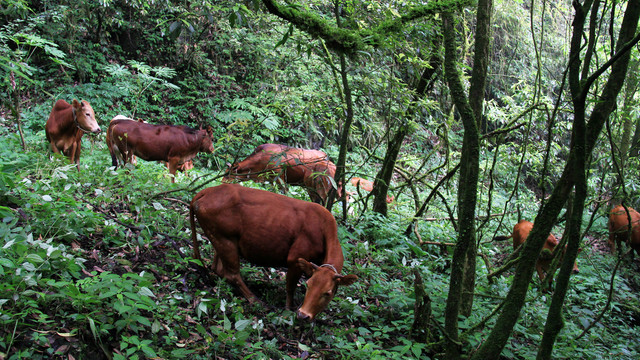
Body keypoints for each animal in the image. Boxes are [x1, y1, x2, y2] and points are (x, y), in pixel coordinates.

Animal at [190, 184, 360, 320]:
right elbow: (290, 288)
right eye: (308, 285)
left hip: (221, 238)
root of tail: (208, 190)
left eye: (328, 293)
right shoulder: (294, 259)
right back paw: (255, 300)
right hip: (226, 242)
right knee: (232, 274)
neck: (324, 231)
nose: (303, 315)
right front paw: (288, 309)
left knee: (217, 268)